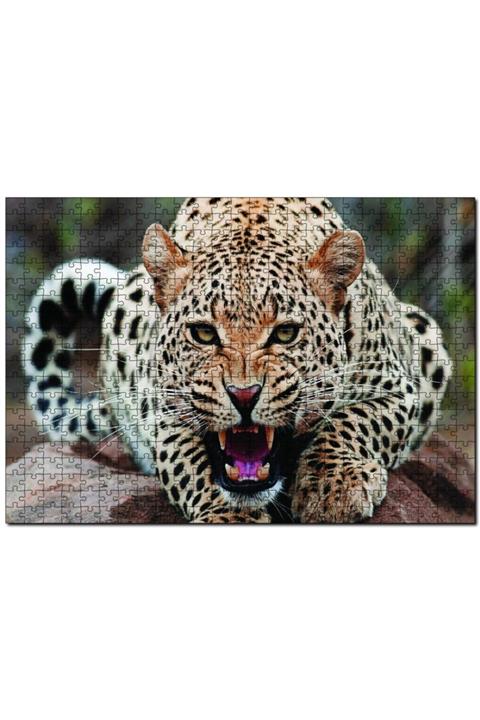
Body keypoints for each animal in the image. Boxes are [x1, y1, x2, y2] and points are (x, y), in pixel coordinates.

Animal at [23, 197, 452, 523]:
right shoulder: (161, 408)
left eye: (285, 333)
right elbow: (190, 463)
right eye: (203, 334)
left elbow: (356, 421)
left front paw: (334, 487)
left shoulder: (400, 387)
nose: (244, 395)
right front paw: (229, 516)